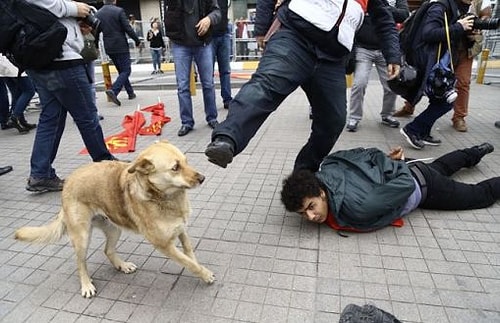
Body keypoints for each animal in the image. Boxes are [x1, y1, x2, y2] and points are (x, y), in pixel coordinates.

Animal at [14, 141, 214, 298]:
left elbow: (190, 254)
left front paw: (200, 270)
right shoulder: (164, 245)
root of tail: (68, 181)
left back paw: (122, 265)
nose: (203, 178)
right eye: (175, 168)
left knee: (108, 250)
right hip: (82, 237)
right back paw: (86, 285)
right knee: (80, 262)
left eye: (186, 161)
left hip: (114, 228)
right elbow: (189, 263)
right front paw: (205, 275)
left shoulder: (181, 230)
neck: (163, 197)